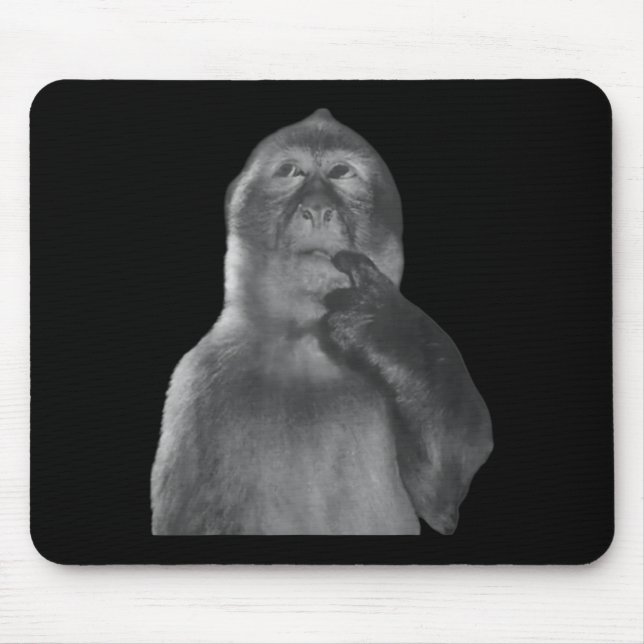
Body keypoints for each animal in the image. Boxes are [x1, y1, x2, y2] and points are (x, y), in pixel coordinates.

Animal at [150, 108, 493, 535]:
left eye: (340, 172)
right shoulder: (199, 380)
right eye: (290, 171)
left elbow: (444, 497)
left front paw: (384, 327)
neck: (305, 345)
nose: (315, 209)